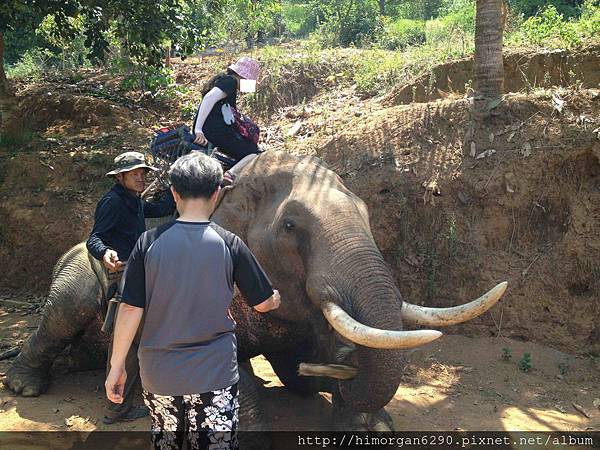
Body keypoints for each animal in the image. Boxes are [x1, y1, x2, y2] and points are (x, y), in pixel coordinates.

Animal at [5, 149, 506, 430]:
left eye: (367, 214)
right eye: (290, 226)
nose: (343, 361)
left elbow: (301, 369)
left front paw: (370, 425)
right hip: (77, 273)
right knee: (60, 316)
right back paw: (26, 387)